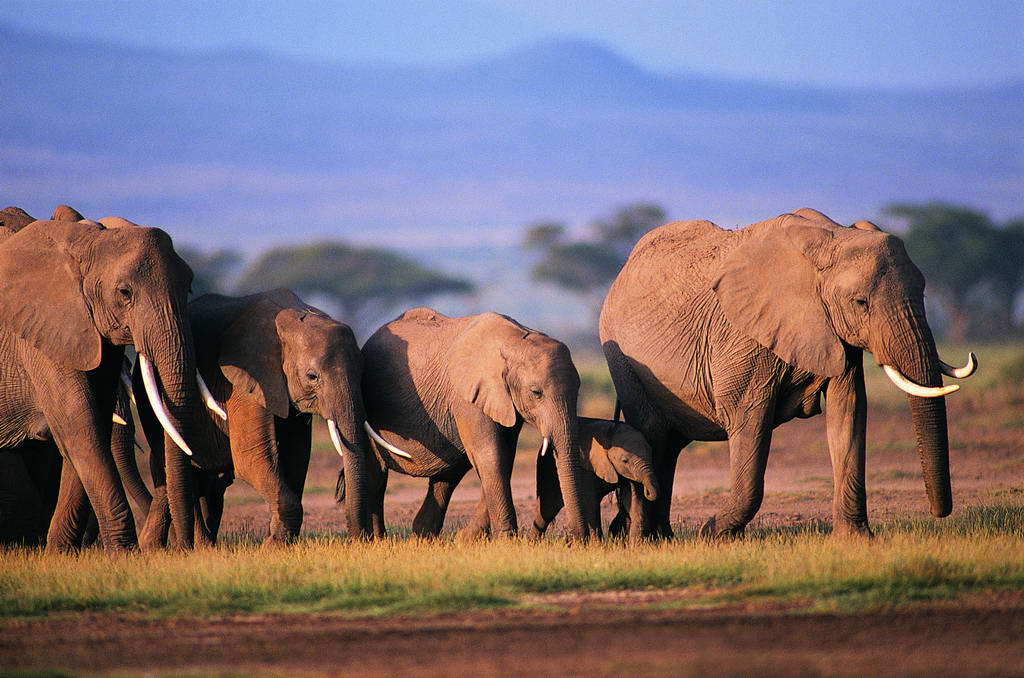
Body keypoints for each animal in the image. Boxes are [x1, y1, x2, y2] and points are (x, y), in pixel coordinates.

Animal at [0, 207, 199, 551]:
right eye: (125, 293)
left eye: (188, 286)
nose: (183, 549)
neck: (85, 240)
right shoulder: (40, 332)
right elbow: (79, 423)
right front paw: (124, 554)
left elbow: (94, 424)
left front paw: (58, 554)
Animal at [136, 288, 372, 547]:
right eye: (312, 377)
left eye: (363, 373)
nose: (359, 539)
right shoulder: (244, 380)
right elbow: (252, 457)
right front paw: (272, 546)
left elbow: (297, 455)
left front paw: (278, 540)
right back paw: (197, 547)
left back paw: (156, 546)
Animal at [355, 308, 593, 539]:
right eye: (536, 393)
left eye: (578, 389)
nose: (575, 540)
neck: (515, 341)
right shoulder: (467, 397)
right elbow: (490, 454)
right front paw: (507, 540)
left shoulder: (503, 399)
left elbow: (504, 456)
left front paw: (467, 539)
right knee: (376, 476)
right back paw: (379, 539)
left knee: (448, 476)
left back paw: (423, 537)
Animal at [599, 208, 975, 539]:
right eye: (860, 303)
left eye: (923, 291)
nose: (938, 512)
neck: (833, 237)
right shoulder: (743, 336)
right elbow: (749, 419)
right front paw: (713, 534)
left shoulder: (834, 334)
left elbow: (849, 414)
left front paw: (856, 539)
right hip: (624, 360)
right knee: (654, 434)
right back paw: (647, 538)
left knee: (671, 446)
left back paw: (663, 537)